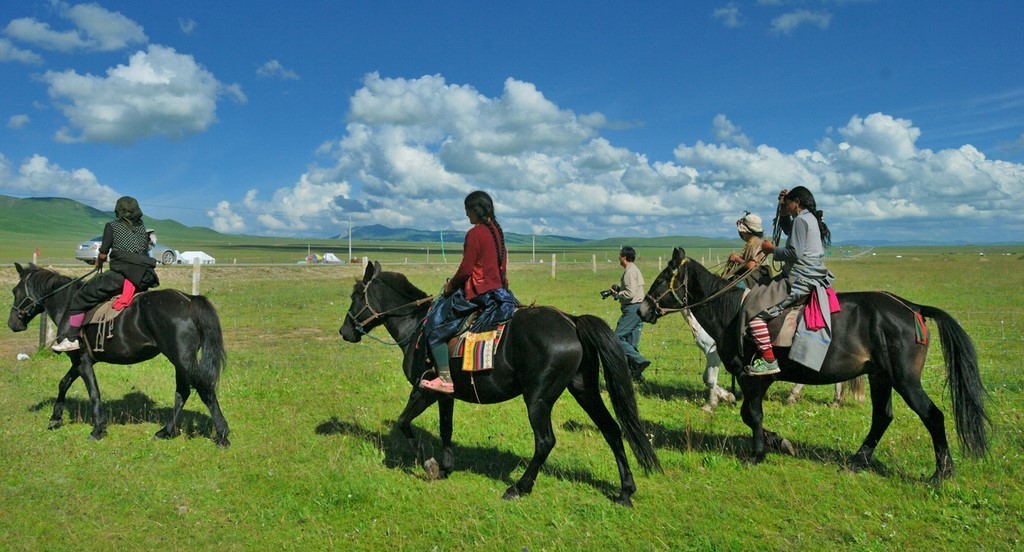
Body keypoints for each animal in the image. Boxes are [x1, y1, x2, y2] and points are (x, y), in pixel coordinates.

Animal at [8, 261, 229, 446]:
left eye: (15, 290)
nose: (12, 324)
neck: (67, 304)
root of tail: (189, 300)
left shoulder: (83, 361)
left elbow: (93, 391)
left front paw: (97, 429)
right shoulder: (79, 361)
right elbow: (64, 383)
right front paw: (55, 419)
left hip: (183, 359)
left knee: (205, 390)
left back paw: (222, 435)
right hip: (180, 361)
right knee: (183, 392)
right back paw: (165, 432)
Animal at [335, 261, 655, 507]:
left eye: (355, 296)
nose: (344, 331)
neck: (417, 325)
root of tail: (572, 321)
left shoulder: (423, 390)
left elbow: (404, 423)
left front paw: (429, 465)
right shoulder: (444, 394)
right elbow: (446, 427)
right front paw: (447, 467)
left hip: (538, 398)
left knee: (545, 441)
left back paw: (519, 487)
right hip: (583, 389)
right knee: (612, 429)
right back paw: (625, 492)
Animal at [638, 248, 983, 481]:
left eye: (661, 279)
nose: (642, 310)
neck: (731, 311)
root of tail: (911, 308)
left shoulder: (754, 378)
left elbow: (751, 414)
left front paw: (760, 453)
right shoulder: (754, 381)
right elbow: (748, 413)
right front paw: (779, 442)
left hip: (904, 379)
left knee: (932, 415)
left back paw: (941, 474)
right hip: (880, 377)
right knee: (882, 417)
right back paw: (857, 461)